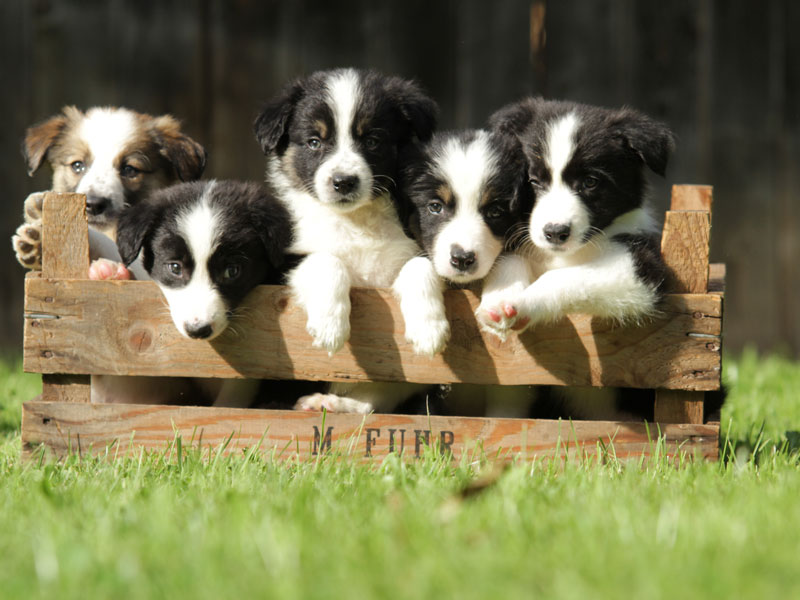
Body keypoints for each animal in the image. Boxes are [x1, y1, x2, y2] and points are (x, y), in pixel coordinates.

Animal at [255, 65, 438, 412]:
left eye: (373, 140)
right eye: (314, 142)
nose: (344, 182)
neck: (354, 220)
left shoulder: (412, 247)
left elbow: (420, 268)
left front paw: (429, 330)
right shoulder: (285, 260)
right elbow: (327, 260)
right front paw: (330, 327)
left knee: (372, 402)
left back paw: (331, 404)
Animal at [476, 98, 676, 338]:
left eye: (590, 182)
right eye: (533, 181)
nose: (555, 233)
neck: (563, 255)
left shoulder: (642, 266)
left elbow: (562, 276)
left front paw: (524, 302)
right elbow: (510, 259)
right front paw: (500, 301)